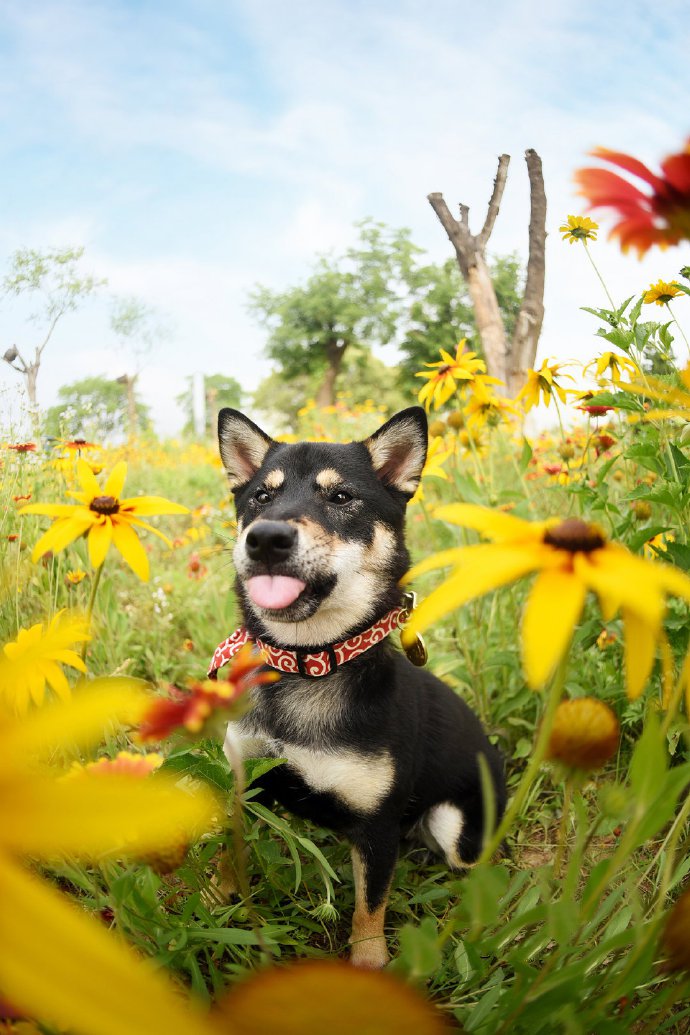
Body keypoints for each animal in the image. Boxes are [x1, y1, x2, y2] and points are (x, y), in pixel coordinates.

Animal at [213, 405, 511, 968]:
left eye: (340, 497)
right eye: (261, 496)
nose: (265, 538)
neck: (307, 664)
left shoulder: (376, 830)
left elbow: (369, 909)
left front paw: (370, 965)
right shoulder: (245, 781)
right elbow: (226, 852)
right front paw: (213, 902)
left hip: (454, 828)